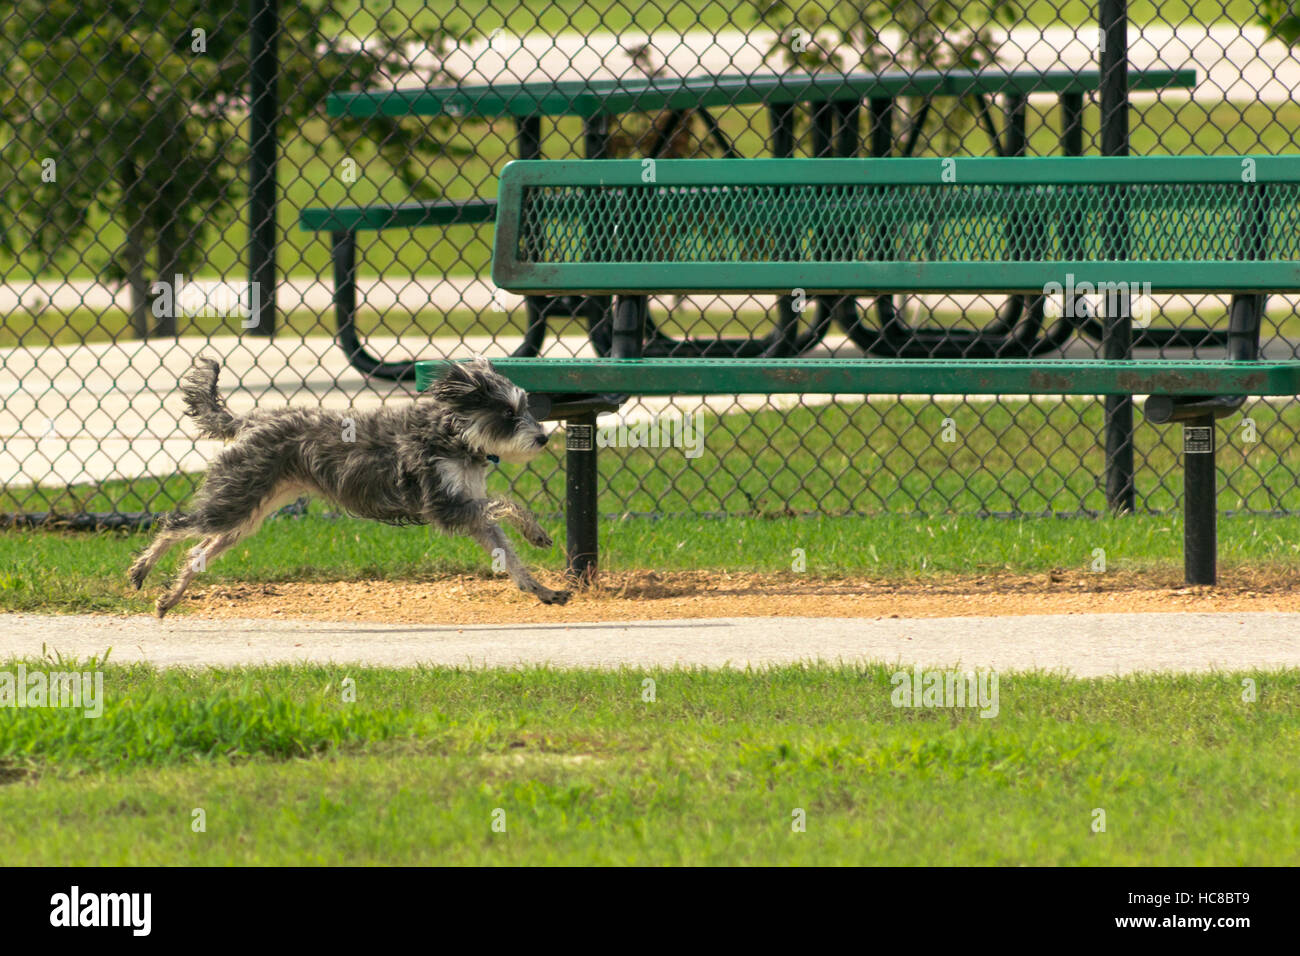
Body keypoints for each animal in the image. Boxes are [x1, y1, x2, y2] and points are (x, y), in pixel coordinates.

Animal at [130, 356, 569, 616]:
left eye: (526, 407)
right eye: (507, 414)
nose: (543, 438)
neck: (453, 434)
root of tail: (250, 420)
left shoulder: (470, 512)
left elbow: (507, 554)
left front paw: (541, 589)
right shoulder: (446, 506)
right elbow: (507, 504)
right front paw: (536, 532)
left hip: (247, 515)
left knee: (199, 551)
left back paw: (170, 597)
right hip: (234, 502)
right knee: (175, 525)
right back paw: (140, 570)